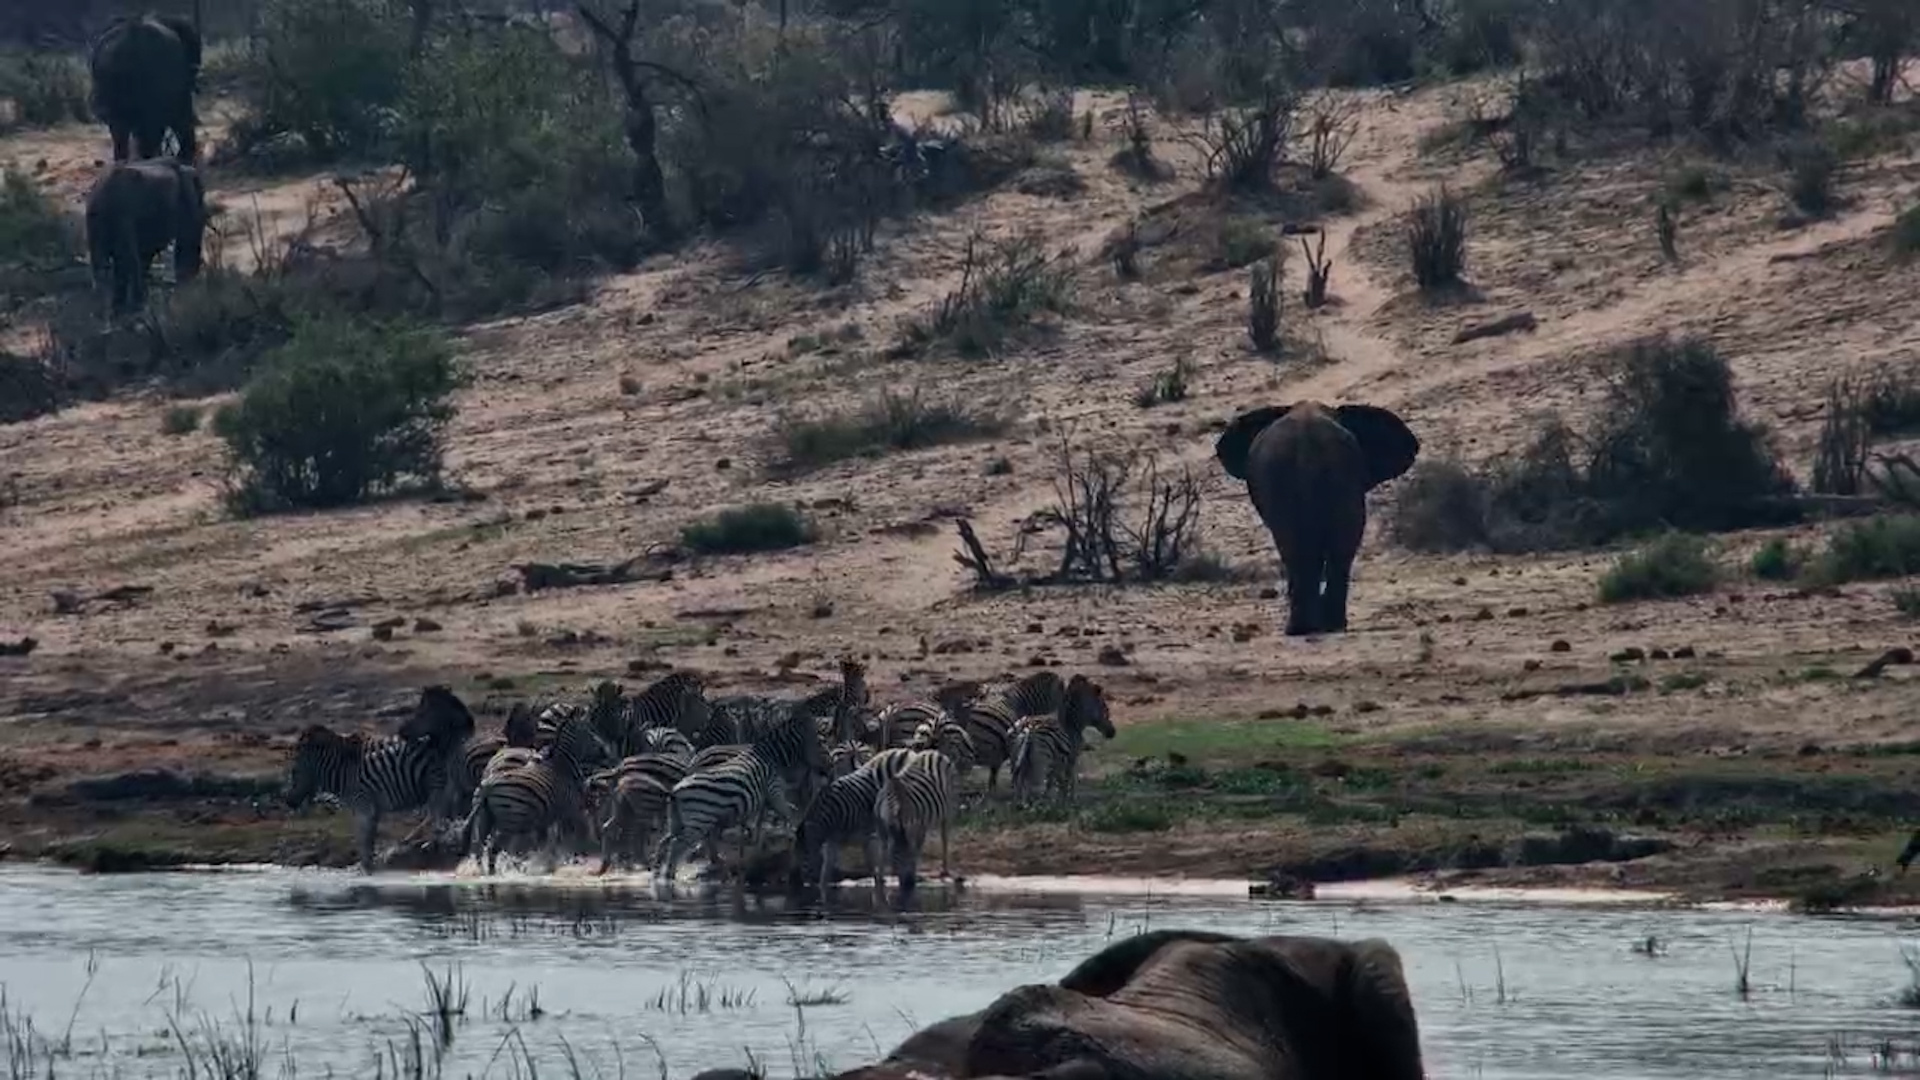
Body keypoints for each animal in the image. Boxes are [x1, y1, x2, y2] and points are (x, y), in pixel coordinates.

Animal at [461, 713, 611, 874]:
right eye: (591, 732)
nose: (606, 751)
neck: (562, 765)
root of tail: (487, 786)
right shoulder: (570, 810)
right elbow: (569, 837)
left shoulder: (545, 818)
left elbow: (544, 843)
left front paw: (543, 864)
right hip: (510, 822)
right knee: (493, 848)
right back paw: (495, 873)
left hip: (485, 818)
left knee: (479, 847)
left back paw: (485, 872)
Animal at [653, 705, 828, 883]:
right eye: (819, 743)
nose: (827, 769)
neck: (770, 756)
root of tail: (676, 790)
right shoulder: (775, 791)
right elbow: (789, 815)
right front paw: (792, 837)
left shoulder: (766, 798)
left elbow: (763, 820)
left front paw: (758, 843)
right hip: (699, 820)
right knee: (677, 844)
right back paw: (670, 876)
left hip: (678, 820)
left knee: (665, 840)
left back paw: (661, 871)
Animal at [875, 748, 958, 892]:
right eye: (895, 857)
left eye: (908, 855)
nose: (909, 884)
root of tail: (934, 751)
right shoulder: (881, 826)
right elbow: (882, 850)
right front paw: (881, 878)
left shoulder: (912, 826)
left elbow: (914, 849)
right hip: (924, 819)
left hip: (948, 807)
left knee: (944, 837)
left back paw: (944, 870)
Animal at [1008, 675, 1115, 805]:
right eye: (1106, 709)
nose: (1113, 733)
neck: (1072, 723)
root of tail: (1029, 728)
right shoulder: (1072, 758)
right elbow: (1070, 780)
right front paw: (1070, 801)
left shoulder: (1057, 763)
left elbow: (1056, 782)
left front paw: (1059, 801)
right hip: (1041, 763)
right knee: (1034, 784)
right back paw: (1036, 806)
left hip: (1017, 760)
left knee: (1020, 784)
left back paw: (1022, 804)